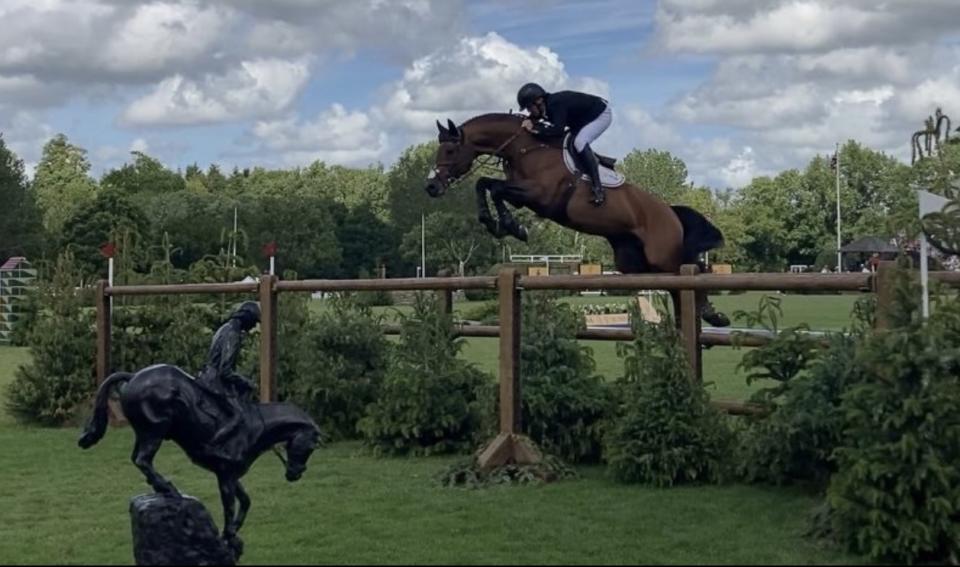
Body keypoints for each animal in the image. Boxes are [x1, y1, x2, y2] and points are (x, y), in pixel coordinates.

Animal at [79, 364, 322, 556]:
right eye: (311, 447)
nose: (295, 474)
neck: (255, 426)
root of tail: (134, 376)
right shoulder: (225, 475)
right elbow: (229, 505)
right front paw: (228, 537)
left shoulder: (230, 473)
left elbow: (245, 501)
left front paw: (233, 535)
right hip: (155, 430)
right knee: (142, 460)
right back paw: (168, 488)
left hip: (145, 432)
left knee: (137, 459)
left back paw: (160, 488)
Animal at [424, 113, 732, 326]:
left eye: (449, 151)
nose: (431, 187)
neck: (525, 148)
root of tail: (669, 211)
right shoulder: (522, 195)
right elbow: (485, 184)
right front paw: (497, 223)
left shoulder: (539, 195)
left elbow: (494, 188)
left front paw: (512, 226)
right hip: (635, 263)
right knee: (676, 288)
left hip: (662, 255)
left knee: (691, 271)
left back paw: (711, 315)